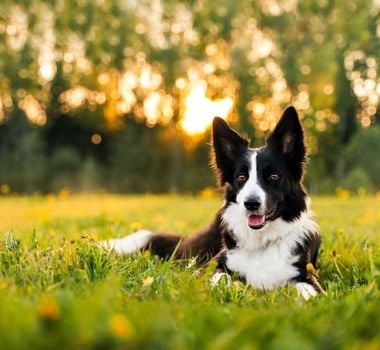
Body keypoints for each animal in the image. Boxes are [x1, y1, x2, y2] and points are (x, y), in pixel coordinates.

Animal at [103, 105, 320, 300]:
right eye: (241, 177)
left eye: (274, 176)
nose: (250, 203)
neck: (262, 240)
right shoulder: (213, 265)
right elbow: (220, 277)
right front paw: (229, 289)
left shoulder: (307, 275)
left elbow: (308, 290)